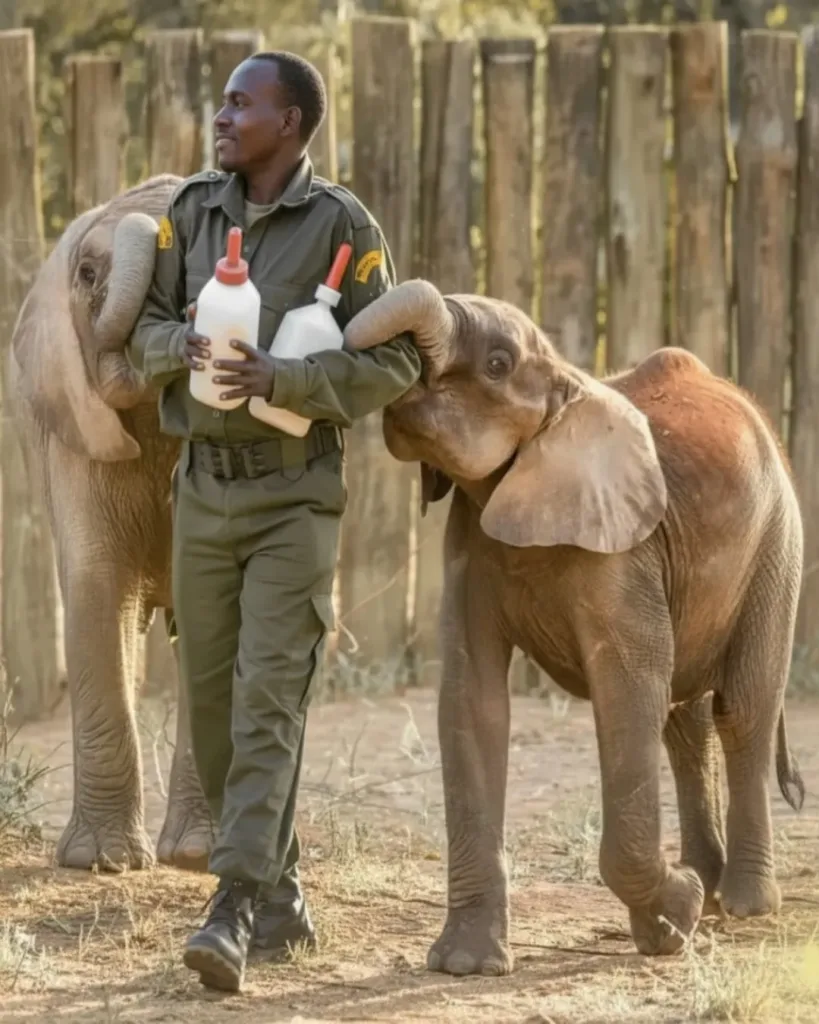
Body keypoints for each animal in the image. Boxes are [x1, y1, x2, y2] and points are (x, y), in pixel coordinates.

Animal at [342, 279, 806, 971]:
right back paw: (711, 887)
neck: (566, 383)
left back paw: (744, 904)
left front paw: (672, 920)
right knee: (685, 722)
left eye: (498, 363)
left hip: (778, 540)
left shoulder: (622, 551)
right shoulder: (472, 542)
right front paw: (466, 966)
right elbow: (471, 701)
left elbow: (628, 694)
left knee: (743, 707)